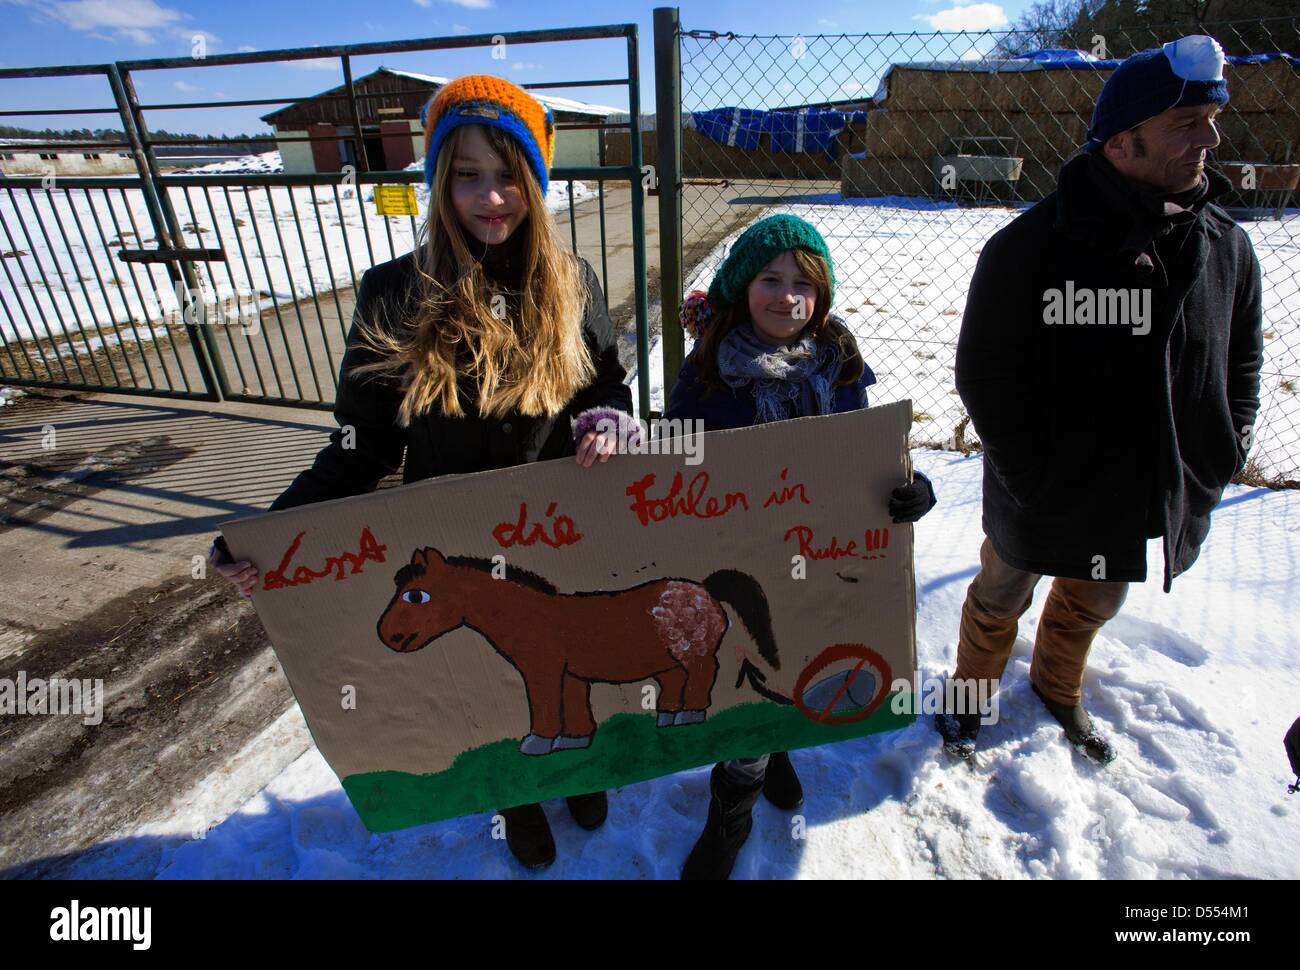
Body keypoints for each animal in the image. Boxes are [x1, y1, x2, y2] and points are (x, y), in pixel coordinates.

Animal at [377, 548, 780, 754]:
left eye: (416, 595)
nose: (386, 635)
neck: (529, 615)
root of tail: (706, 588)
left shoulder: (543, 671)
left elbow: (544, 705)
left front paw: (537, 743)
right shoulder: (571, 675)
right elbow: (573, 706)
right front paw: (575, 740)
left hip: (691, 653)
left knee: (703, 673)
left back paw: (690, 716)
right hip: (665, 661)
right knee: (674, 683)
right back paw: (667, 717)